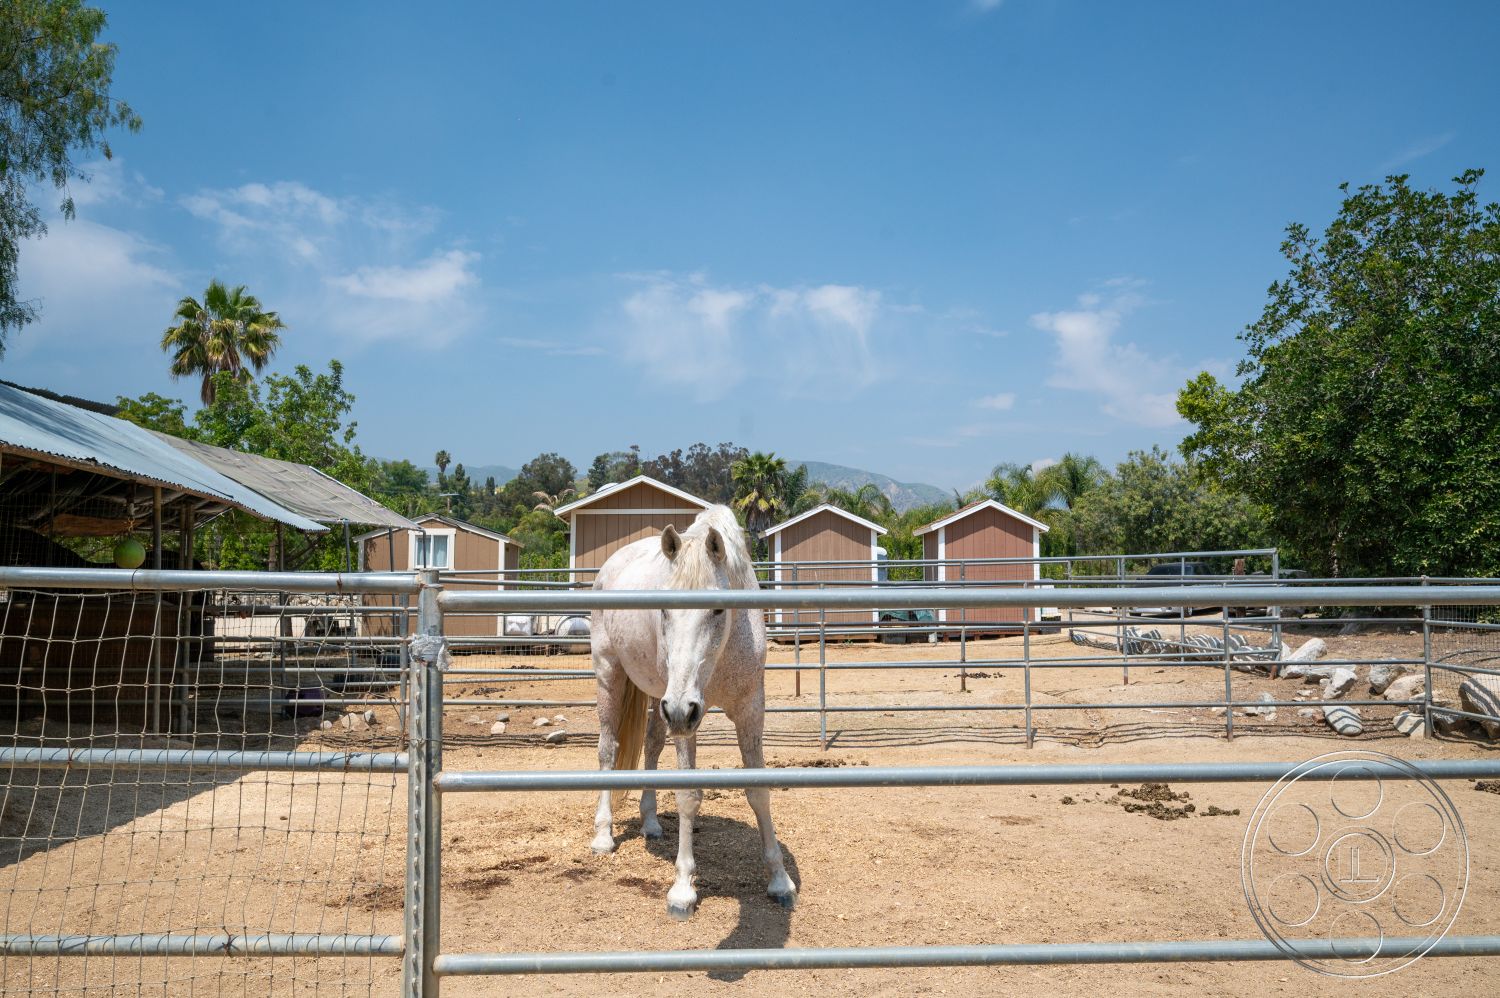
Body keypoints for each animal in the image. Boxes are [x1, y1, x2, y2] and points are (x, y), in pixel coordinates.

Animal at [588, 504, 797, 919]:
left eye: (718, 608)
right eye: (663, 608)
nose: (682, 710)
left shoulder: (749, 710)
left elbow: (759, 790)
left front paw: (779, 880)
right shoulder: (686, 720)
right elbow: (688, 796)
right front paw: (682, 889)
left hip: (660, 698)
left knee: (651, 746)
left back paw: (651, 823)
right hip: (615, 677)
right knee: (608, 748)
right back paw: (603, 835)